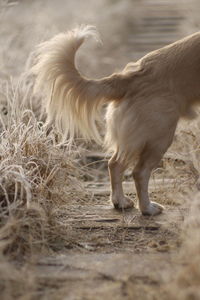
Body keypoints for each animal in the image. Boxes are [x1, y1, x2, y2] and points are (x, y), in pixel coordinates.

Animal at [31, 24, 200, 214]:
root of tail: (129, 77)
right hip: (160, 135)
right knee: (139, 172)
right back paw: (147, 208)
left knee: (114, 164)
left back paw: (120, 201)